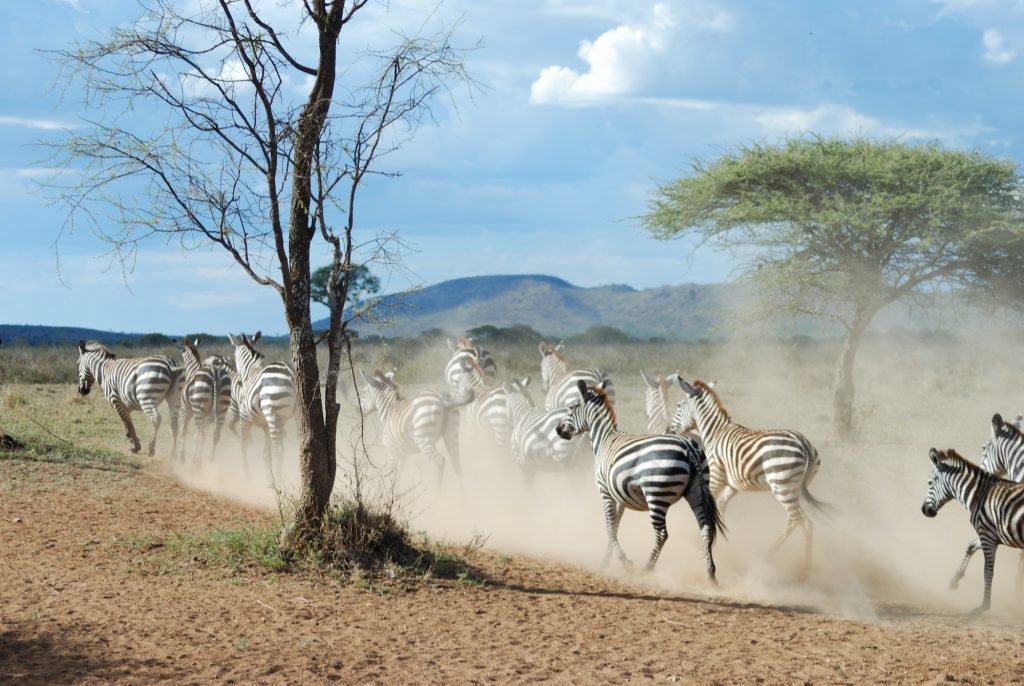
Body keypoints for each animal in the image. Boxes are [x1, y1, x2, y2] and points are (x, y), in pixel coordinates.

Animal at [228, 331, 296, 473]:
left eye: (235, 357)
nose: (239, 382)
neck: (250, 373)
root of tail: (291, 372)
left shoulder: (244, 418)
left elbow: (243, 446)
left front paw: (246, 473)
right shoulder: (266, 425)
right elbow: (266, 454)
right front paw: (268, 476)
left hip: (273, 416)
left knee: (278, 451)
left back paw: (280, 478)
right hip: (299, 413)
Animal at [552, 378, 720, 581]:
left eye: (571, 407)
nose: (558, 430)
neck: (605, 438)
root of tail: (687, 446)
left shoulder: (604, 490)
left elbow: (609, 527)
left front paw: (625, 562)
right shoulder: (619, 496)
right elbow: (615, 526)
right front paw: (607, 560)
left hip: (656, 495)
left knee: (662, 534)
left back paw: (647, 568)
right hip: (697, 492)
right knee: (706, 529)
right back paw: (711, 573)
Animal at [667, 378, 827, 565]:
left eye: (678, 405)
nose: (668, 431)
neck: (715, 433)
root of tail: (803, 443)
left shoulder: (715, 477)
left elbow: (708, 509)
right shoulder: (733, 485)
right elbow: (720, 506)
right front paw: (720, 543)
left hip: (782, 486)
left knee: (806, 524)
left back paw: (806, 566)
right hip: (795, 489)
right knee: (793, 521)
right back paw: (769, 553)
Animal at [921, 448, 1024, 614]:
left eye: (930, 483)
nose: (924, 510)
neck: (979, 495)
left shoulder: (987, 535)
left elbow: (988, 572)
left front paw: (984, 606)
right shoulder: (991, 535)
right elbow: (970, 546)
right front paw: (955, 580)